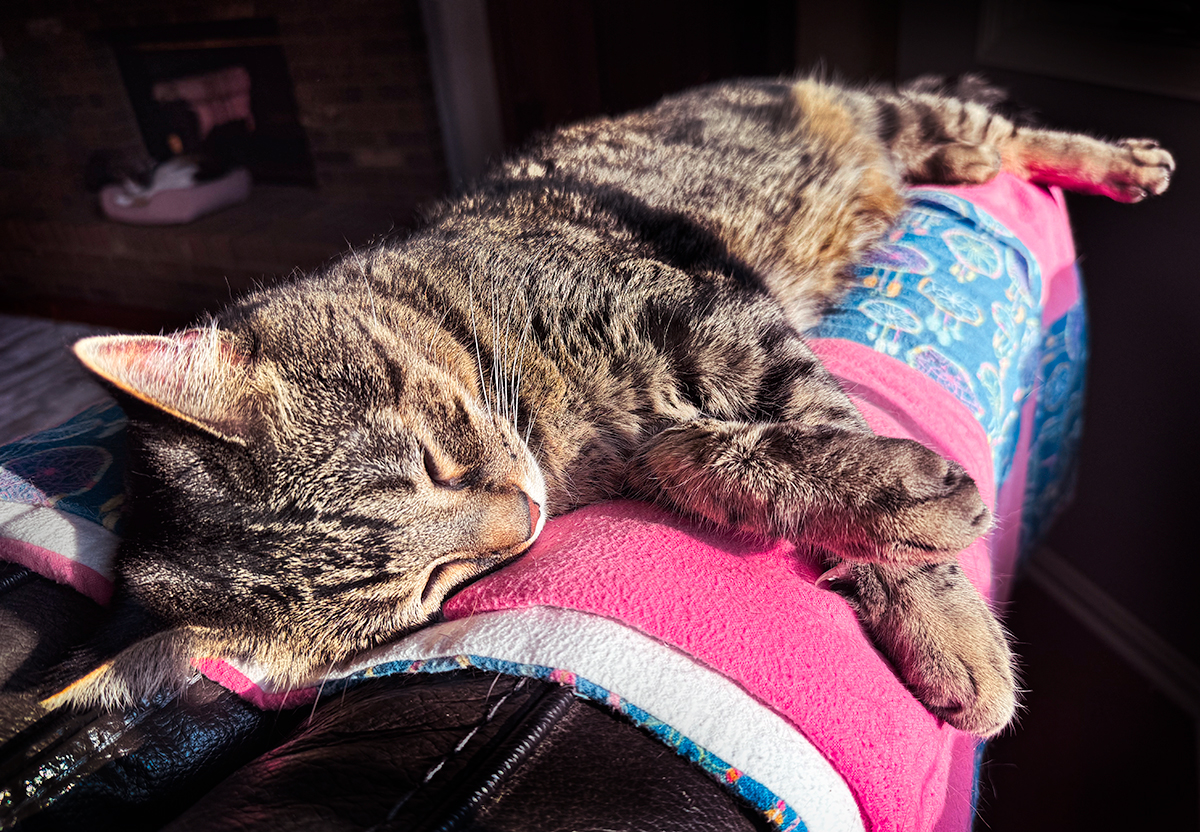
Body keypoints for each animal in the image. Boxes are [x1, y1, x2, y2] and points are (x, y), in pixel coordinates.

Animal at [49, 74, 1171, 734]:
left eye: (431, 457)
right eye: (434, 586)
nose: (523, 518)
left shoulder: (712, 315)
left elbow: (814, 416)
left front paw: (943, 614)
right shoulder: (663, 421)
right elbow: (732, 457)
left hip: (887, 117)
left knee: (990, 120)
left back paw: (1118, 158)